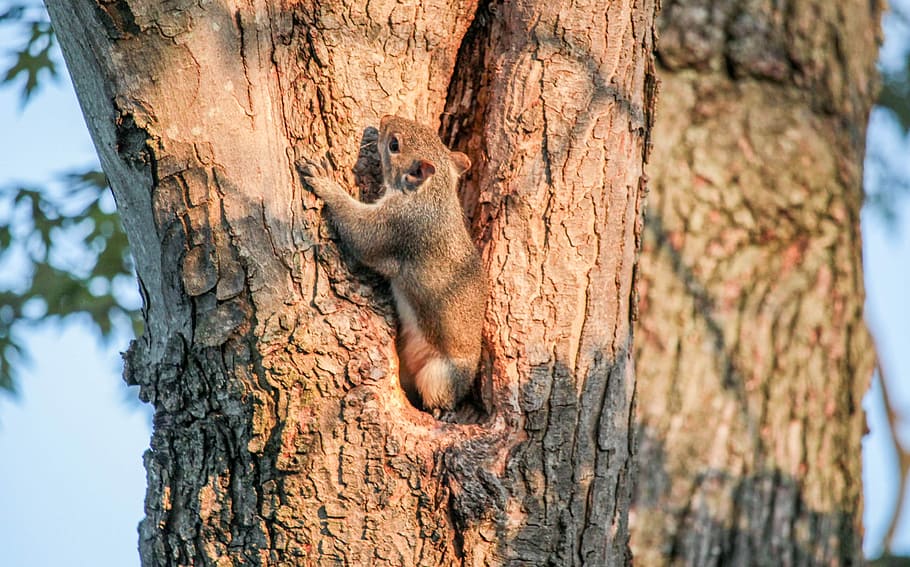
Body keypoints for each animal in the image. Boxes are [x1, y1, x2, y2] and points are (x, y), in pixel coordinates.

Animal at [302, 115, 488, 420]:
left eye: (394, 145)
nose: (385, 118)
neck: (431, 196)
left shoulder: (397, 227)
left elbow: (361, 235)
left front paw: (323, 181)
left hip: (440, 374)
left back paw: (440, 410)